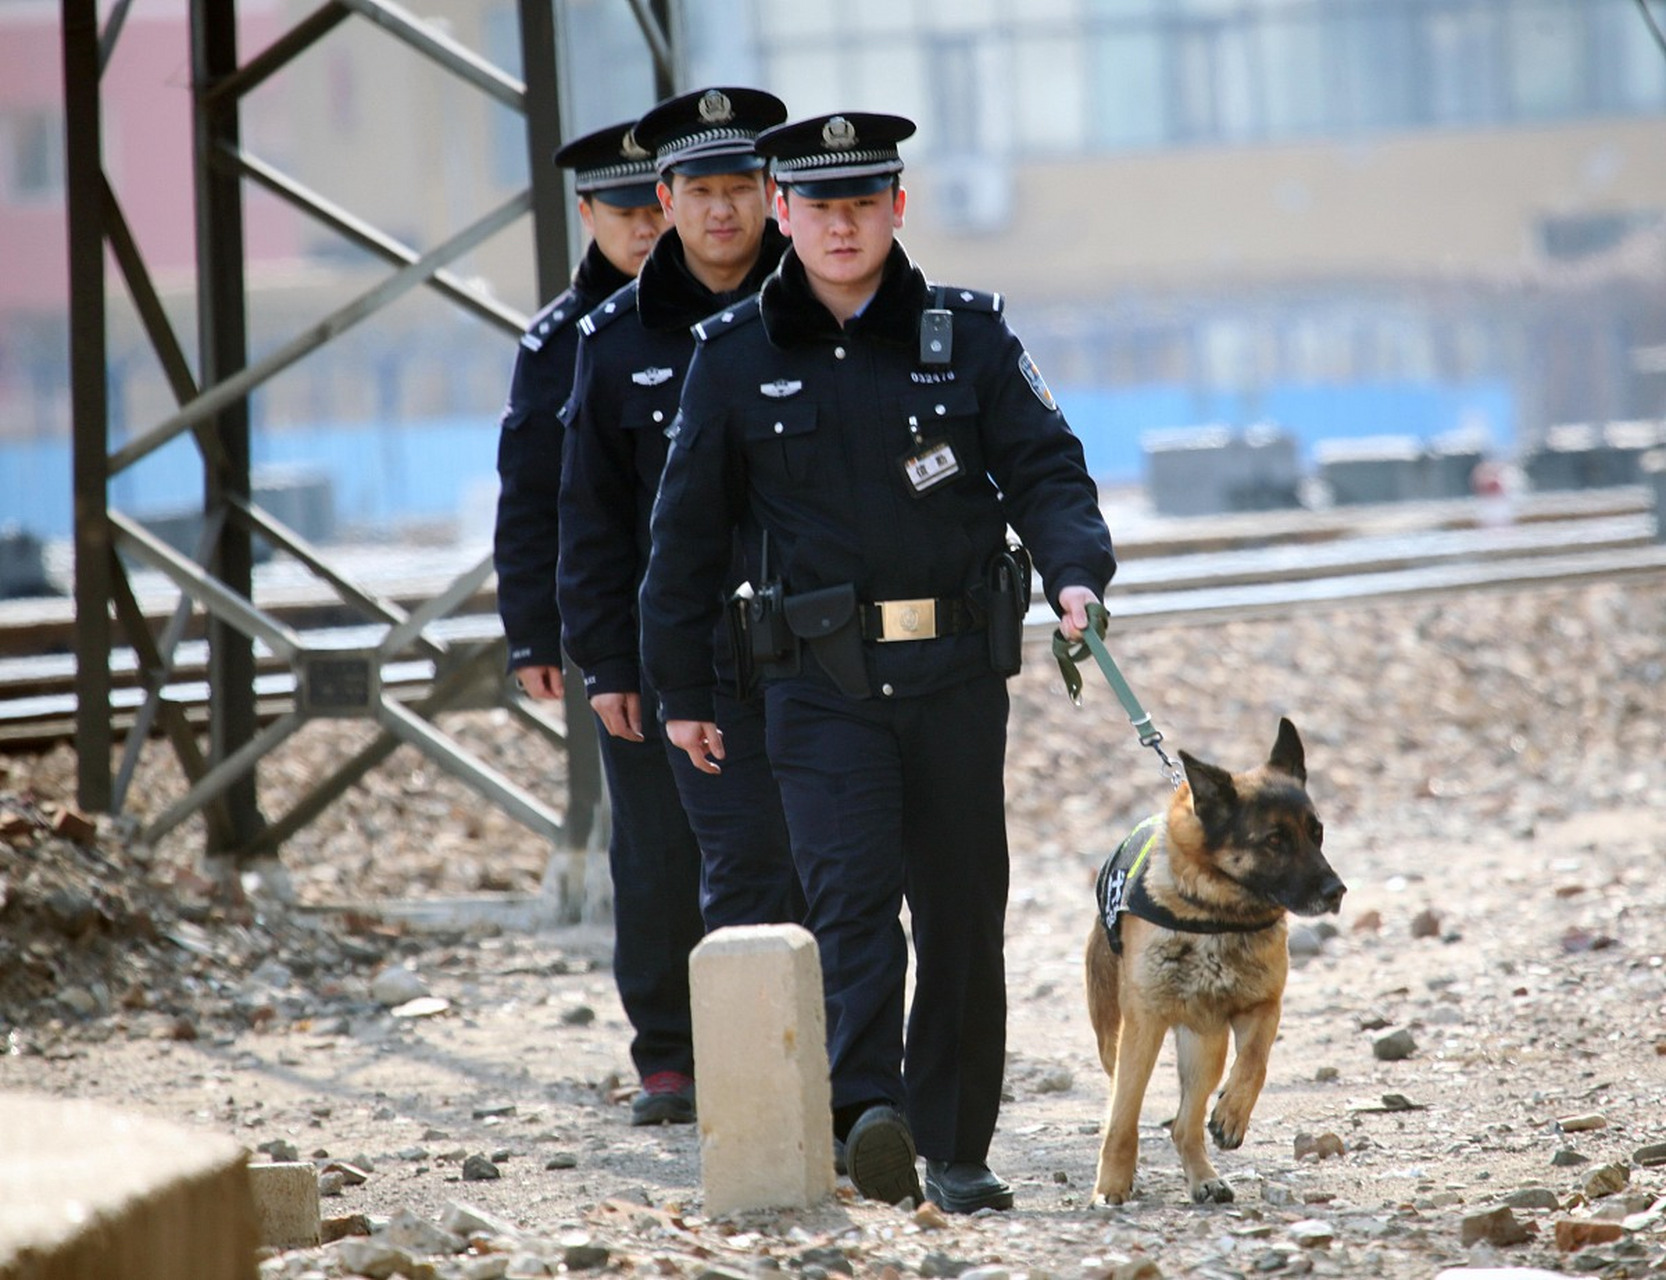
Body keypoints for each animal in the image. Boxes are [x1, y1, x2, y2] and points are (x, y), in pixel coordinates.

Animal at [1086, 726, 1346, 1206]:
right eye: (1274, 840)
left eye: (1316, 832)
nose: (1337, 891)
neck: (1217, 911)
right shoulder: (1142, 1026)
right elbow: (1124, 1117)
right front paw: (1111, 1184)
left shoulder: (1262, 1006)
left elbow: (1256, 1062)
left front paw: (1232, 1113)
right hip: (1117, 1039)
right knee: (1125, 1103)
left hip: (1203, 1046)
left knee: (1184, 1125)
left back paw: (1204, 1176)